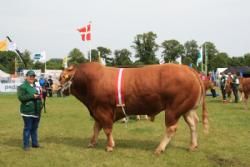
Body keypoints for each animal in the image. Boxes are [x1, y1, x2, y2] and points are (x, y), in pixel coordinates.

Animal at [59, 62, 209, 154]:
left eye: (61, 77)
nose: (55, 88)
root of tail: (188, 69)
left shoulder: (103, 110)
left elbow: (107, 129)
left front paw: (110, 146)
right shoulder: (97, 110)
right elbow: (96, 128)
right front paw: (92, 143)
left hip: (173, 109)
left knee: (171, 128)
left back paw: (159, 148)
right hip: (187, 109)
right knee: (193, 124)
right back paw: (192, 145)